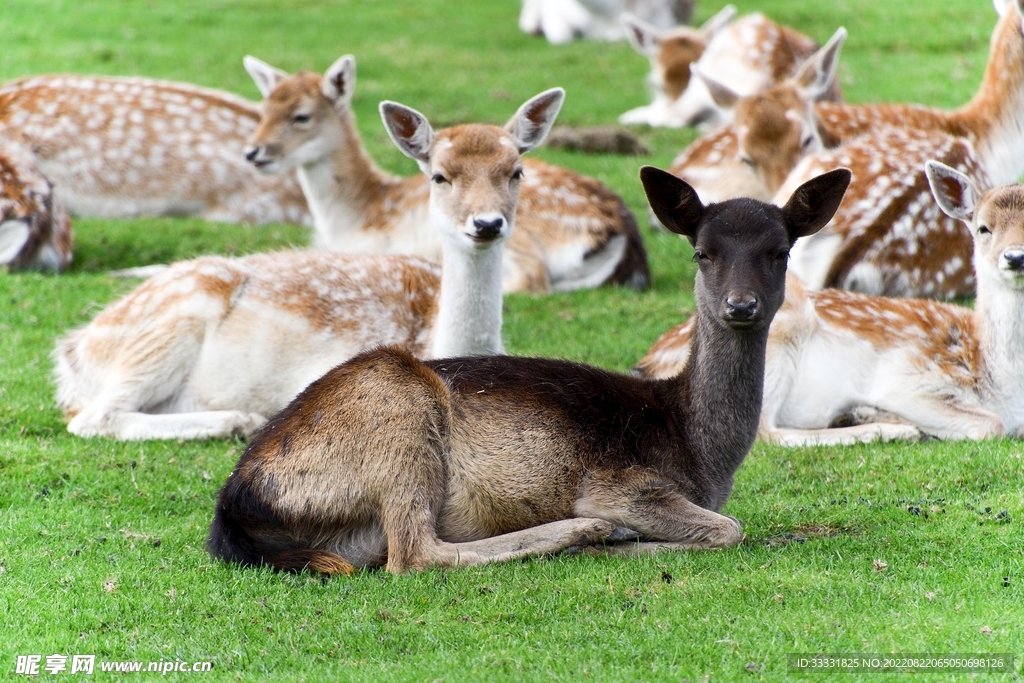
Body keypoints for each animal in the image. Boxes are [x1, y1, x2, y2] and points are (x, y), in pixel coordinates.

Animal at [53, 88, 566, 441]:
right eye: (440, 176)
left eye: (516, 172)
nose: (487, 223)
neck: (434, 340)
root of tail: (71, 354)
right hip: (167, 327)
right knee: (94, 417)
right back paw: (243, 419)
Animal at [205, 166, 851, 575]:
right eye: (702, 252)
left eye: (781, 252)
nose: (740, 306)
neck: (701, 453)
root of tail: (233, 510)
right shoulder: (622, 481)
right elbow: (728, 529)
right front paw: (616, 535)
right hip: (395, 412)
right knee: (413, 554)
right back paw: (583, 535)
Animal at [242, 55, 649, 295]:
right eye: (262, 110)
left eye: (301, 116)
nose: (253, 152)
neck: (354, 217)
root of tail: (624, 235)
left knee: (532, 280)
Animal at [636, 161, 1024, 446]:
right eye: (983, 228)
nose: (1015, 257)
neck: (998, 382)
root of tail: (650, 364)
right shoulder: (907, 375)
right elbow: (991, 425)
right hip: (782, 334)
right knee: (764, 432)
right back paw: (889, 428)